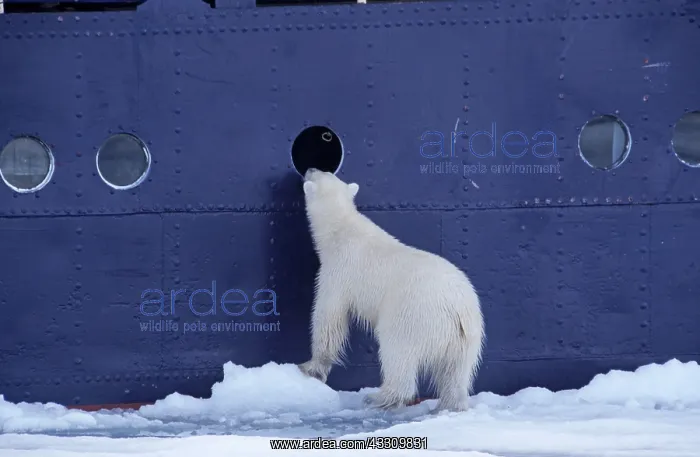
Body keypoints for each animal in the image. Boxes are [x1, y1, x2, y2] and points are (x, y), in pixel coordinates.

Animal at [297, 168, 485, 412]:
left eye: (317, 172)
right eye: (323, 170)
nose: (309, 169)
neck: (342, 230)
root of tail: (459, 308)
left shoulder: (338, 274)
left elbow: (328, 318)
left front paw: (310, 367)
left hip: (414, 315)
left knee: (397, 350)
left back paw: (377, 397)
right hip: (466, 337)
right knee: (455, 372)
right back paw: (451, 405)